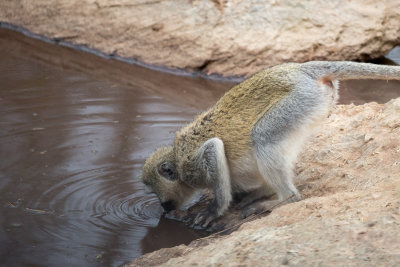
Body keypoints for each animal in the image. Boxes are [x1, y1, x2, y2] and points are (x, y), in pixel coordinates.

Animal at [142, 61, 398, 227]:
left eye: (155, 189)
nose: (163, 207)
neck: (176, 157)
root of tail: (298, 69)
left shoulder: (192, 167)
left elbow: (214, 148)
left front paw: (214, 210)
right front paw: (256, 191)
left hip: (298, 100)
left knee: (263, 136)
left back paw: (284, 199)